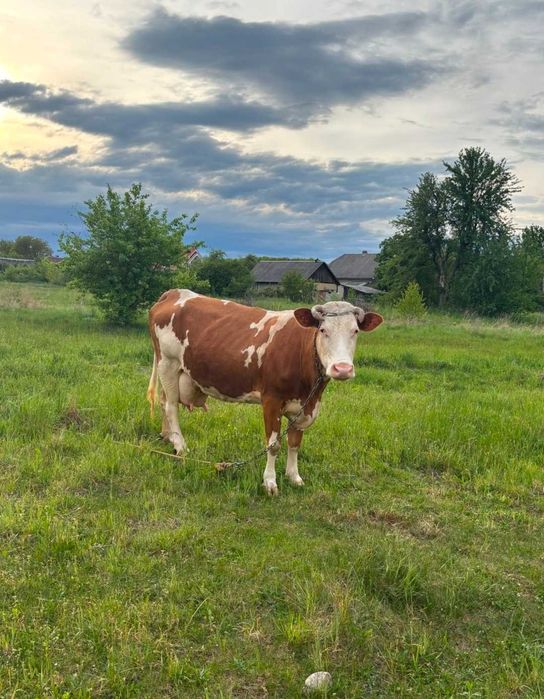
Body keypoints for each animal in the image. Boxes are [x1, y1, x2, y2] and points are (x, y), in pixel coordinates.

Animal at [147, 290, 383, 495]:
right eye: (323, 330)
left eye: (355, 331)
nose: (342, 369)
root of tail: (175, 293)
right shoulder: (271, 399)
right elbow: (273, 445)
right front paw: (270, 482)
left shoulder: (304, 406)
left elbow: (295, 443)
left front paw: (293, 476)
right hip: (168, 363)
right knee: (171, 407)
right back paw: (180, 446)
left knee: (164, 402)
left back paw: (168, 437)